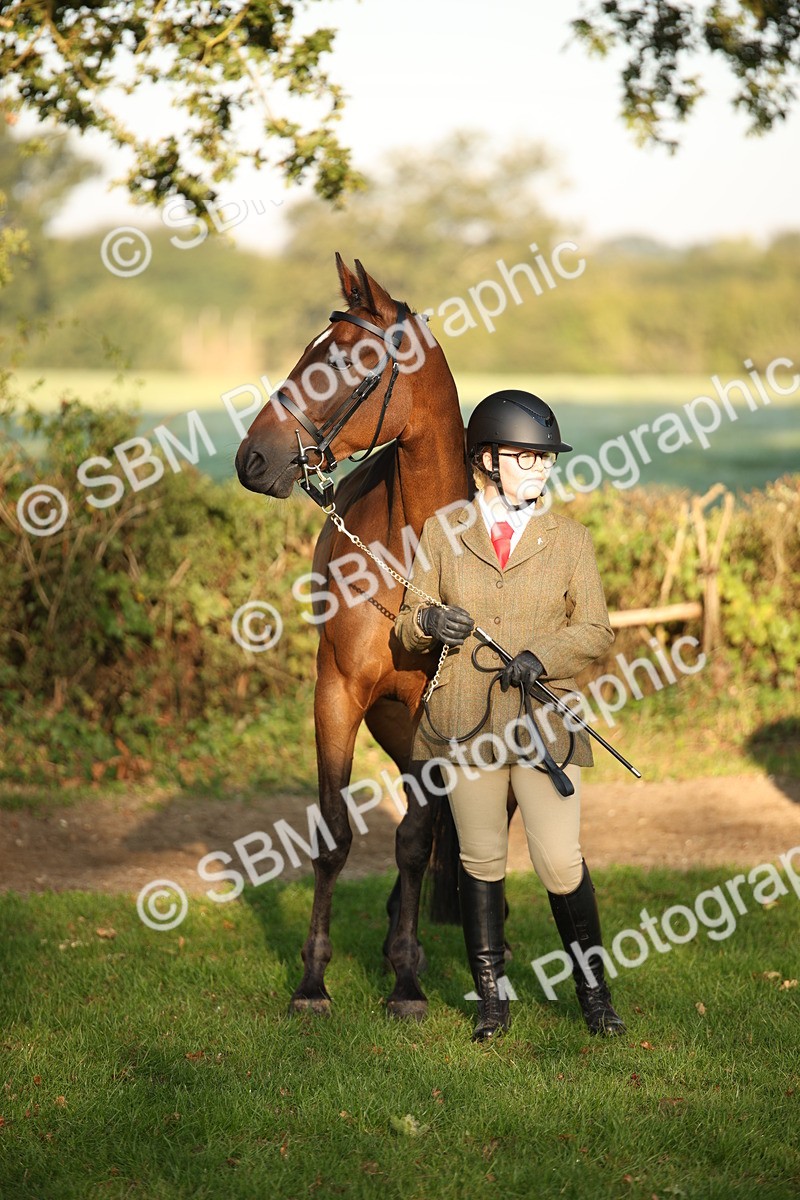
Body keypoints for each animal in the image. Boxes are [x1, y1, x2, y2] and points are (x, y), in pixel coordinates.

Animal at [235, 255, 471, 1019]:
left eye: (343, 361)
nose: (252, 459)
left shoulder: (433, 717)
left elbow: (414, 838)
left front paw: (406, 983)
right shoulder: (337, 693)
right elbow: (335, 835)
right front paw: (314, 980)